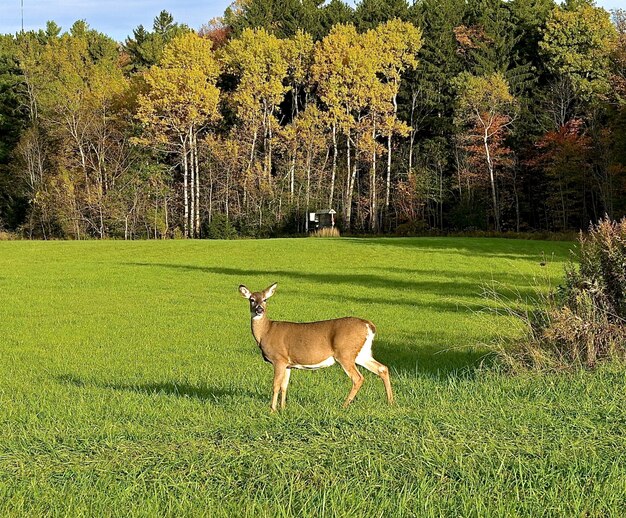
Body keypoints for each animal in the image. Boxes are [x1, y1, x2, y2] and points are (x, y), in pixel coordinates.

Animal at [236, 282, 392, 412]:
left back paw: (344, 405)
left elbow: (275, 385)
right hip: (361, 353)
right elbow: (284, 386)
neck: (266, 331)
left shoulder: (278, 359)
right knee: (382, 368)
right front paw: (283, 408)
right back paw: (391, 402)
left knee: (358, 378)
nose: (259, 309)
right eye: (251, 299)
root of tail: (369, 325)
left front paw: (272, 410)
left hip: (345, 353)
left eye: (265, 299)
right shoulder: (288, 363)